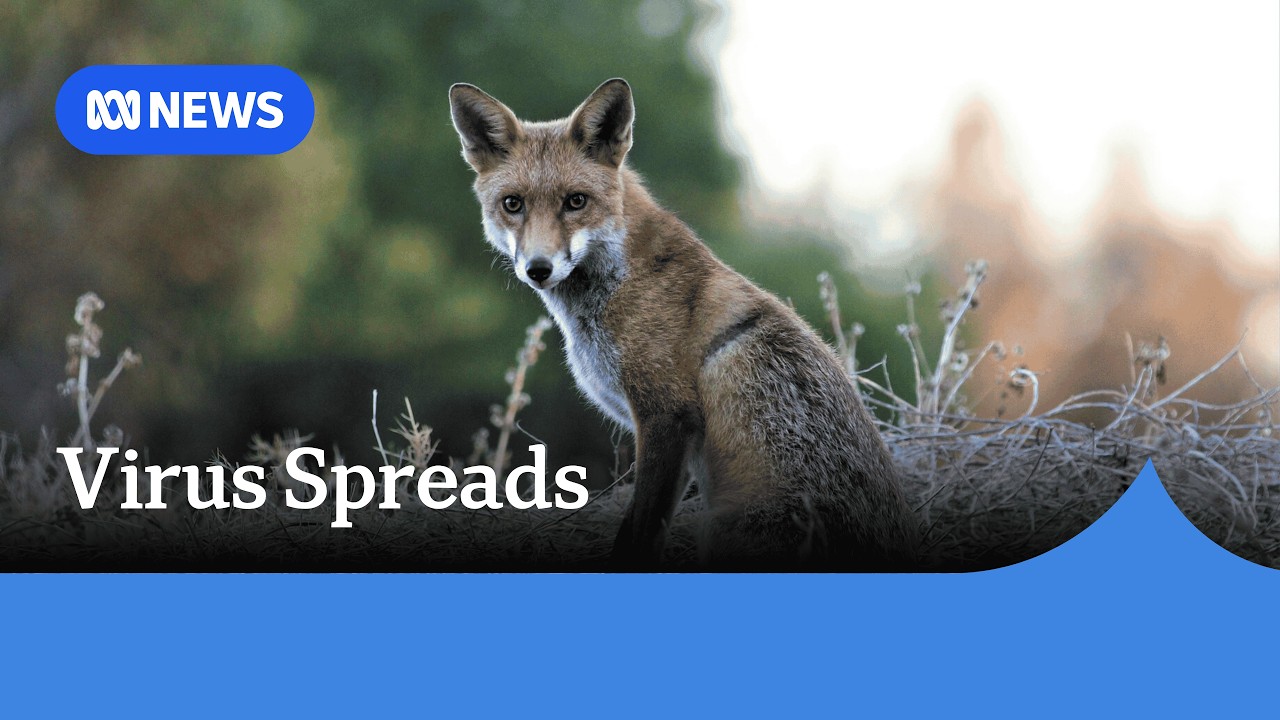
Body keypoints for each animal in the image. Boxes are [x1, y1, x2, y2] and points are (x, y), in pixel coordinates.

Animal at [449, 78, 918, 569]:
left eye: (575, 201)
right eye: (513, 204)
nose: (538, 268)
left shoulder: (668, 416)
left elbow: (636, 536)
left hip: (722, 526)